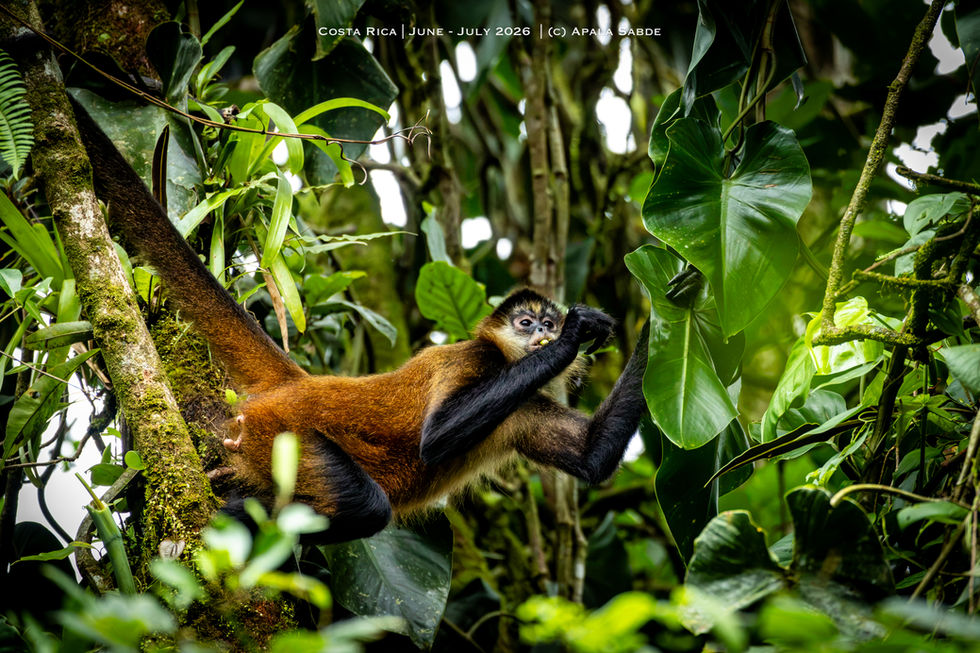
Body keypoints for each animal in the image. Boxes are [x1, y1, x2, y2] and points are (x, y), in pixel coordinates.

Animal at [71, 99, 650, 544]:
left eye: (543, 324)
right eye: (528, 324)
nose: (546, 335)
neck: (508, 365)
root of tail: (300, 384)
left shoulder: (526, 404)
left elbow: (592, 458)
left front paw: (662, 306)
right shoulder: (474, 358)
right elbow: (436, 438)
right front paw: (580, 334)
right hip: (284, 434)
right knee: (367, 507)